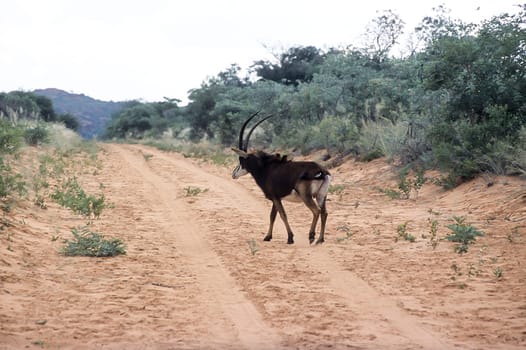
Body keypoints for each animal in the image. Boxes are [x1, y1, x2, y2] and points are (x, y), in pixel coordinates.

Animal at [232, 111, 332, 243]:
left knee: (316, 211)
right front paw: (268, 236)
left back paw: (311, 236)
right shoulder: (277, 198)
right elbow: (272, 216)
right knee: (324, 213)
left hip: (306, 196)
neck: (265, 168)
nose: (233, 174)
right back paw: (320, 239)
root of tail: (321, 171)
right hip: (321, 196)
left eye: (241, 160)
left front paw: (290, 238)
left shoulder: (275, 198)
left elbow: (282, 215)